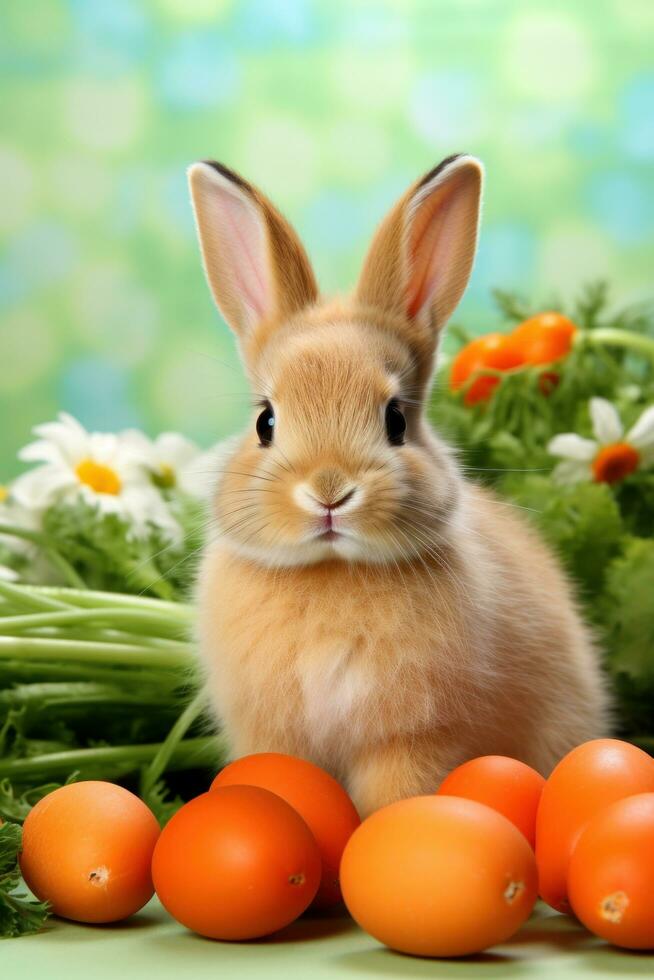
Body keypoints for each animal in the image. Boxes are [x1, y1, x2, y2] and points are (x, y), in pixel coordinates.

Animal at [187, 153, 612, 816]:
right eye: (265, 422)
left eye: (395, 420)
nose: (329, 492)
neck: (333, 571)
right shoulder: (273, 732)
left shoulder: (411, 739)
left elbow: (395, 803)